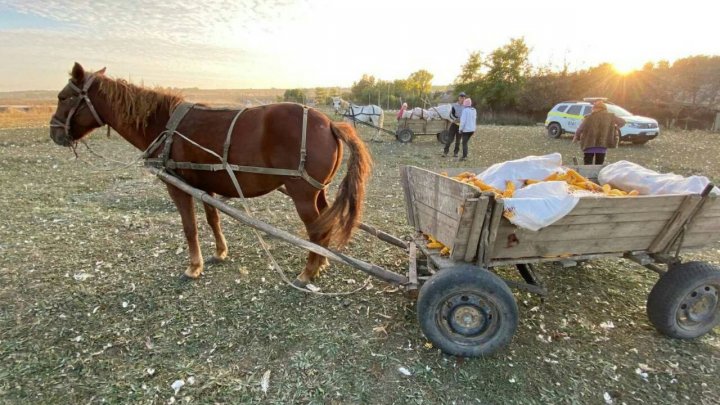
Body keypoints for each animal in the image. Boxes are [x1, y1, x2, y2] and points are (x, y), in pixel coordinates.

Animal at [49, 63, 372, 284]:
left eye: (64, 97)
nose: (54, 132)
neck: (165, 126)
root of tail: (330, 123)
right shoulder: (206, 185)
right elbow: (212, 219)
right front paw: (219, 252)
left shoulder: (178, 187)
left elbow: (189, 227)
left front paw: (194, 266)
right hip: (317, 190)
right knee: (325, 222)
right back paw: (321, 263)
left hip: (302, 194)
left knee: (316, 229)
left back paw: (308, 272)